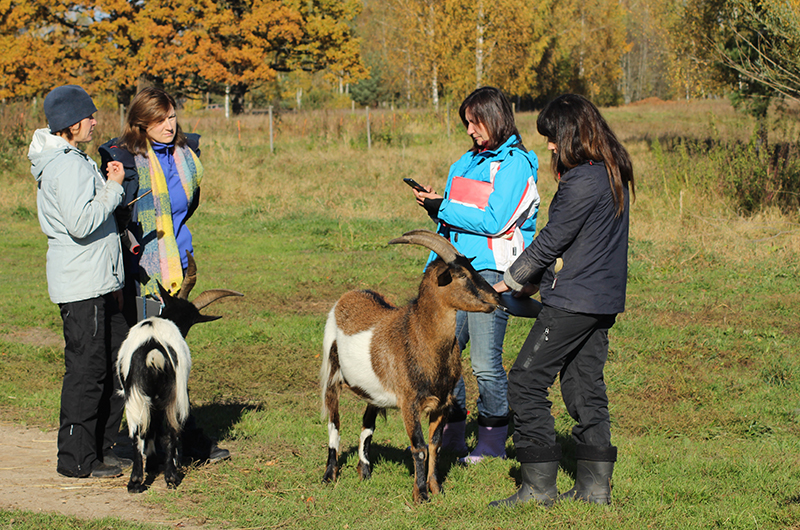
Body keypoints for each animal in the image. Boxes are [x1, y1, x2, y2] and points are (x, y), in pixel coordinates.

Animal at [115, 254, 241, 492]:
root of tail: (153, 351)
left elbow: (149, 429)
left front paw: (152, 464)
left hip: (135, 395)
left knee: (138, 431)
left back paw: (135, 481)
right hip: (175, 393)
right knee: (171, 430)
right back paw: (171, 477)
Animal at [320, 229, 500, 502]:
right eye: (461, 275)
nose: (496, 297)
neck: (419, 337)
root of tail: (351, 294)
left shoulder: (442, 403)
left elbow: (435, 445)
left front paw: (436, 488)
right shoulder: (409, 402)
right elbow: (420, 447)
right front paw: (421, 495)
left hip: (373, 391)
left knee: (367, 424)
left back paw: (365, 472)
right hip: (332, 371)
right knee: (334, 422)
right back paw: (329, 475)